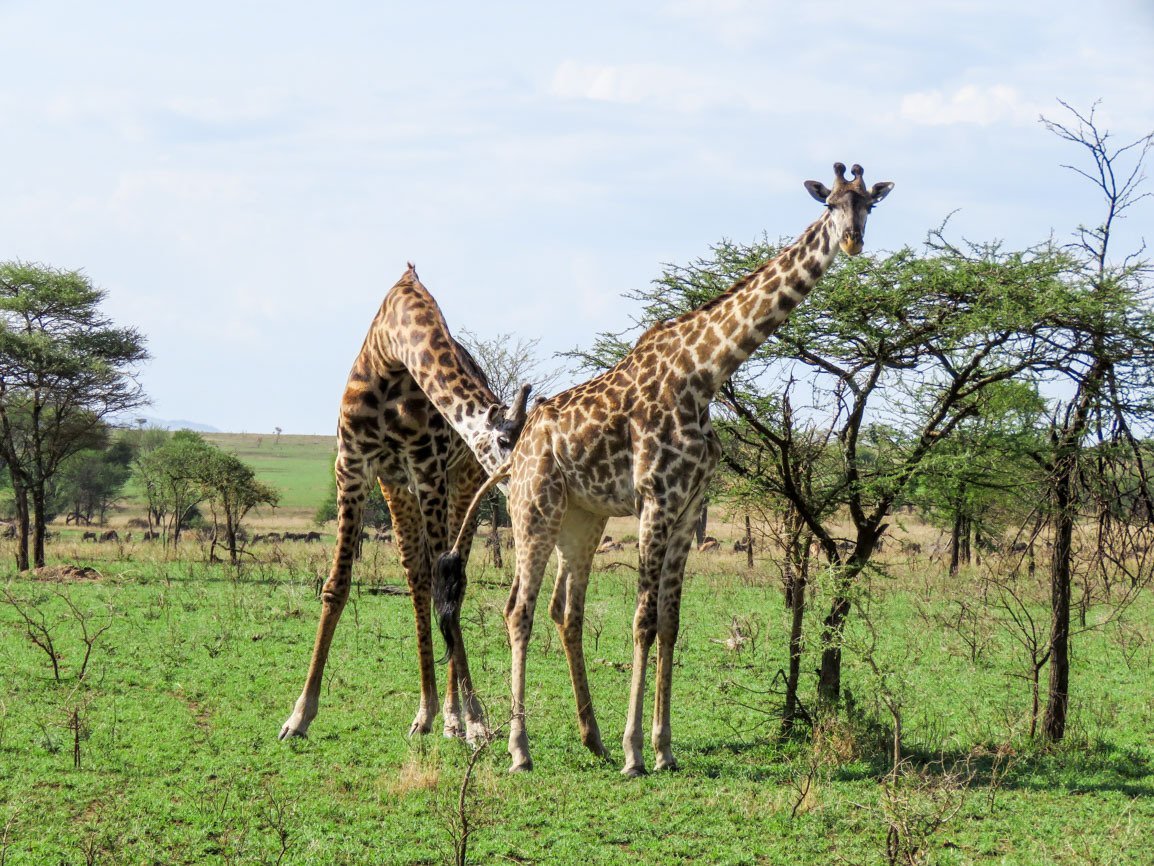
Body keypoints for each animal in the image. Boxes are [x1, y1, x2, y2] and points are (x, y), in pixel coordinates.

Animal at [279, 264, 530, 748]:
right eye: (505, 443)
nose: (522, 482)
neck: (390, 355)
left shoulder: (428, 469)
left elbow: (445, 588)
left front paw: (473, 720)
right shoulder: (353, 466)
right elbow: (336, 587)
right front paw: (299, 715)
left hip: (460, 485)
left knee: (451, 583)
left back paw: (451, 716)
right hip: (399, 490)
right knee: (418, 578)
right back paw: (429, 712)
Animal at [436, 166, 895, 775]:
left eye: (869, 205)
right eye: (831, 205)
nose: (852, 240)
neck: (706, 374)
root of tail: (519, 446)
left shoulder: (687, 508)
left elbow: (672, 624)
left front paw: (663, 748)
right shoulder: (656, 499)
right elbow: (643, 621)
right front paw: (636, 752)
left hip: (582, 519)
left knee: (565, 610)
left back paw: (592, 739)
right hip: (534, 509)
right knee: (518, 610)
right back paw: (520, 749)